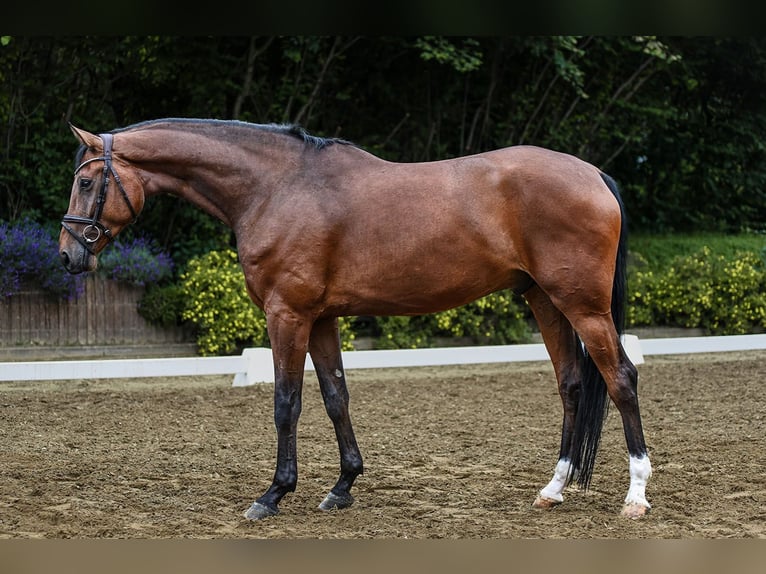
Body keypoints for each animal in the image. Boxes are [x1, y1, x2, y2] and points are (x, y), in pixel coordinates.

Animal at [58, 117, 656, 520]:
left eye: (86, 182)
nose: (67, 256)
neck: (276, 187)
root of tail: (594, 174)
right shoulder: (321, 318)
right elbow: (335, 396)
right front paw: (343, 486)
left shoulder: (288, 314)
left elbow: (287, 402)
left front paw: (273, 493)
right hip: (545, 301)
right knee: (573, 384)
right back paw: (553, 489)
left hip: (582, 306)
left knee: (621, 379)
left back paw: (636, 494)